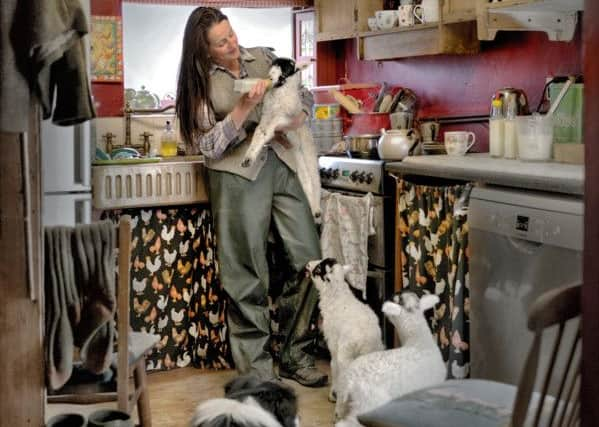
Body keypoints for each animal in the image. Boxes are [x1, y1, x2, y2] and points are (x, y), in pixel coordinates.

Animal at [240, 57, 322, 221]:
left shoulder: (284, 117)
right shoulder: (265, 117)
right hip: (298, 160)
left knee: (315, 180)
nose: (271, 78)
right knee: (306, 180)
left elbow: (269, 129)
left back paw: (317, 211)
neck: (279, 91)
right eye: (273, 65)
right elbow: (259, 134)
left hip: (308, 153)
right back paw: (314, 211)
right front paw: (248, 159)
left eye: (288, 68)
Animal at [308, 258, 386, 404]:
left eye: (318, 269)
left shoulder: (333, 343)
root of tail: (366, 342)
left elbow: (333, 366)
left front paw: (333, 393)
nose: (308, 264)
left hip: (346, 355)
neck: (336, 294)